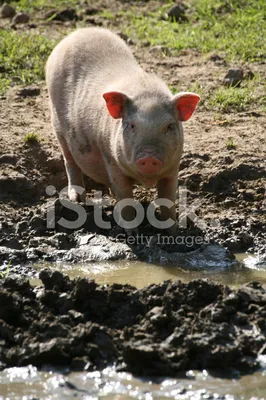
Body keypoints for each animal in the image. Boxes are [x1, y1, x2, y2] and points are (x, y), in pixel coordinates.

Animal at [45, 28, 200, 233]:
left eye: (169, 126)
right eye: (131, 126)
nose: (148, 157)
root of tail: (76, 33)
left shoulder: (173, 168)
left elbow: (168, 200)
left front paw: (173, 233)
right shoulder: (112, 161)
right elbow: (126, 199)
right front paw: (133, 233)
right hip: (57, 124)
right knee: (70, 160)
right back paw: (78, 200)